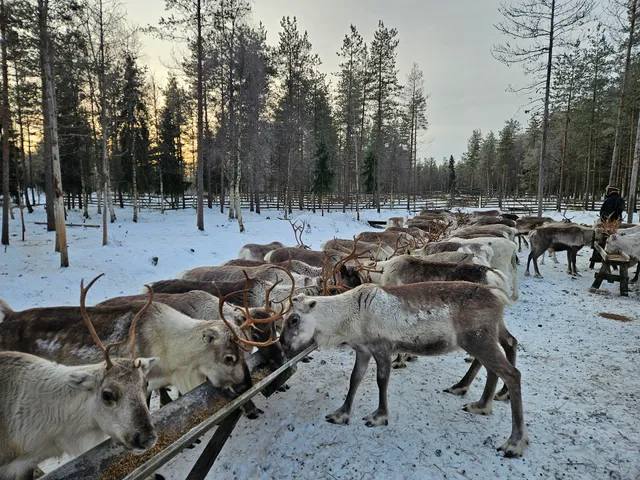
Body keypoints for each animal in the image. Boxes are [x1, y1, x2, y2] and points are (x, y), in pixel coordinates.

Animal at [279, 281, 528, 457]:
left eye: (293, 319)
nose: (282, 344)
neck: (349, 316)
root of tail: (498, 298)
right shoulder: (362, 350)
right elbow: (354, 379)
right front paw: (341, 414)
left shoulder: (382, 348)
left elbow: (381, 381)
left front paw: (379, 416)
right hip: (486, 336)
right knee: (505, 351)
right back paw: (481, 404)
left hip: (478, 339)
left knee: (512, 373)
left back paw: (514, 442)